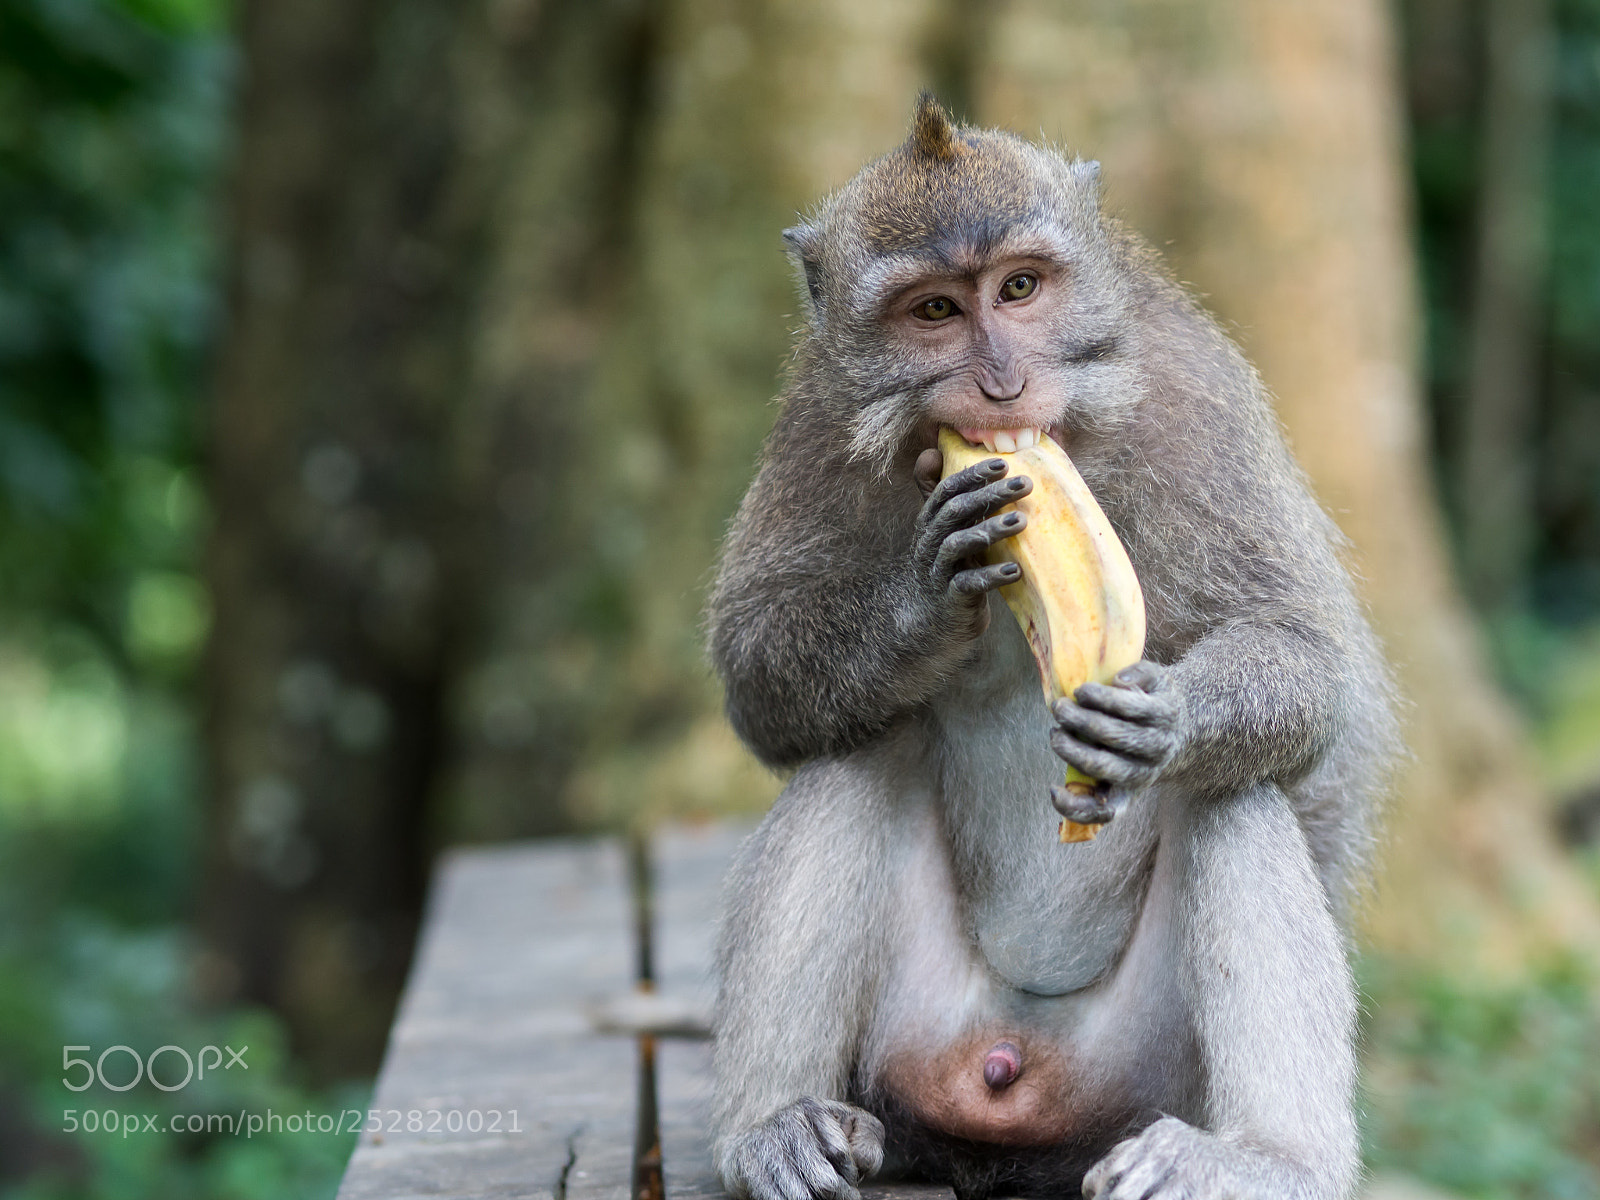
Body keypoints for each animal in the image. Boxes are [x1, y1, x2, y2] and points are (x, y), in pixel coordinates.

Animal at [705, 95, 1398, 1200]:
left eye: (1019, 288)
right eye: (934, 311)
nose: (1000, 385)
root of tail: (1010, 1071)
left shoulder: (1189, 398)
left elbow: (1300, 653)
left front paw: (1166, 720)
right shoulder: (817, 418)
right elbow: (758, 677)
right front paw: (924, 603)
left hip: (1140, 1074)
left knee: (1236, 794)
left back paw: (1263, 1160)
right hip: (918, 1048)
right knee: (855, 756)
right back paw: (771, 1128)